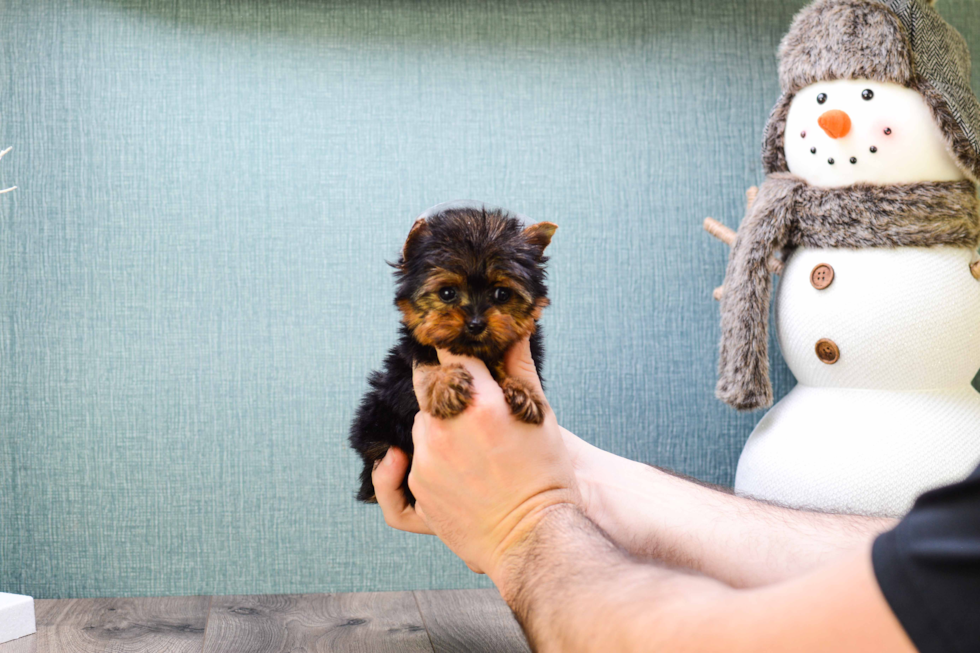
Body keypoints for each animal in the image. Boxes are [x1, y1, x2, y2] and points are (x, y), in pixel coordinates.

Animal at [348, 206, 556, 502]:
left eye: (502, 294)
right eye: (447, 293)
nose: (476, 324)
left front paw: (523, 390)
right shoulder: (404, 370)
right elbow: (424, 371)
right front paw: (444, 383)